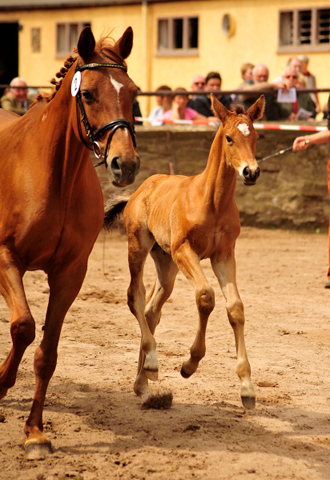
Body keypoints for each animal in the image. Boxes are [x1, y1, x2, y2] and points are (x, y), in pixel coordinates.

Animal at [106, 94, 266, 408]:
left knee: (152, 310)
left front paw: (247, 387)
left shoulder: (224, 255)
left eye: (255, 136)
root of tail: (140, 190)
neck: (210, 200)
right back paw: (152, 364)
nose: (250, 172)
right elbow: (205, 296)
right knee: (135, 296)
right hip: (139, 246)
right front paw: (189, 364)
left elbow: (235, 307)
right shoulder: (185, 251)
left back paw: (143, 384)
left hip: (165, 263)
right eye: (229, 138)